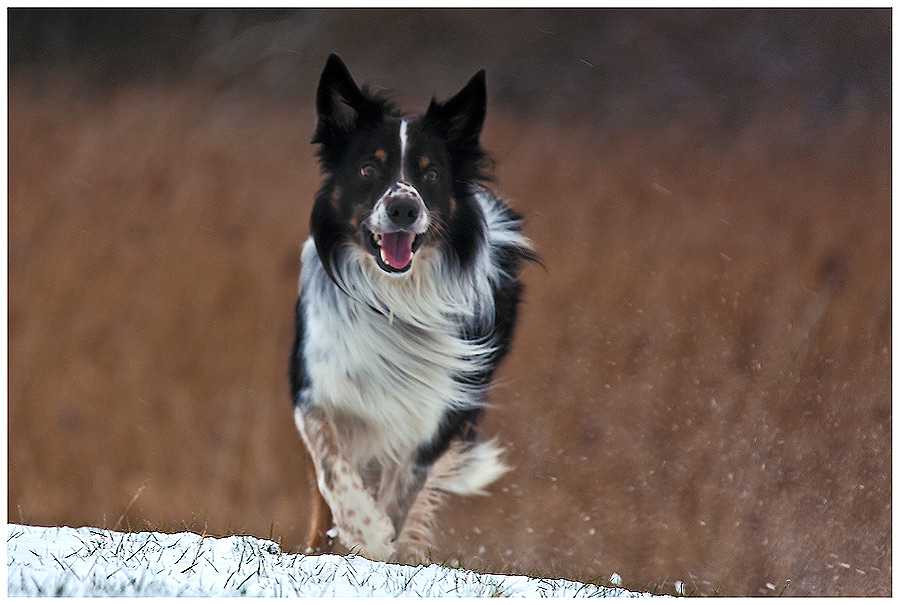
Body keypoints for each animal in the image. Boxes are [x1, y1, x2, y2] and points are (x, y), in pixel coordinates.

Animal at [288, 56, 532, 560]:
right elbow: (331, 469)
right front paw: (364, 531)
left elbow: (402, 493)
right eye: (367, 169)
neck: (394, 296)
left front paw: (379, 546)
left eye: (431, 174)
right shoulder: (314, 389)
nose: (403, 208)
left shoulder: (436, 413)